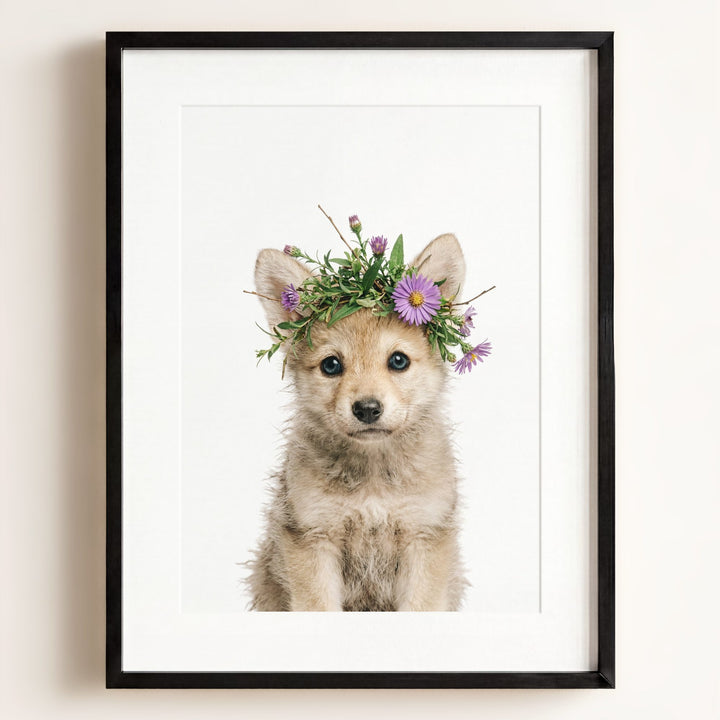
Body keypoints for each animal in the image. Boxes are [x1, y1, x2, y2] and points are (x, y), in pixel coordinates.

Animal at [247, 234, 468, 611]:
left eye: (398, 360)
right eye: (331, 365)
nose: (366, 409)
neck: (373, 478)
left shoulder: (424, 537)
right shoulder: (313, 538)